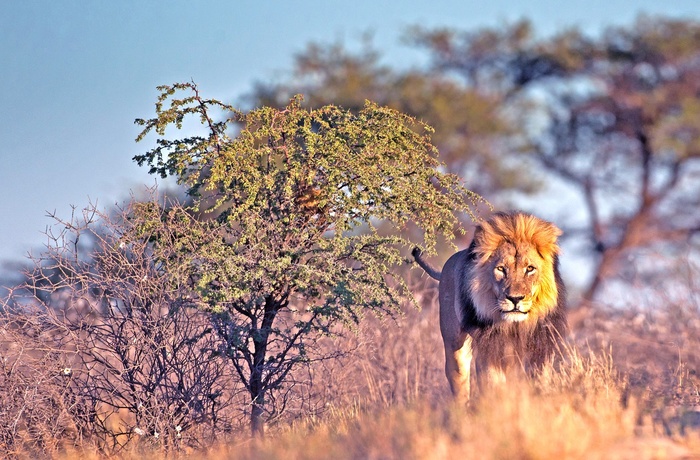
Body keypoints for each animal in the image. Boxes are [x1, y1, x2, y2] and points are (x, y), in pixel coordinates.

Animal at [412, 210, 568, 400]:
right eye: (501, 269)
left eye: (530, 269)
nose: (515, 299)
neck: (515, 326)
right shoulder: (490, 351)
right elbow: (494, 387)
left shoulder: (539, 350)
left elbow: (539, 383)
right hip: (455, 344)